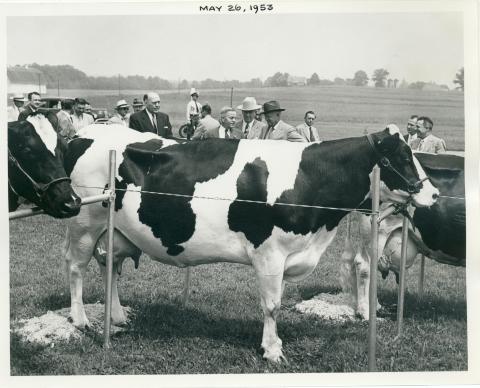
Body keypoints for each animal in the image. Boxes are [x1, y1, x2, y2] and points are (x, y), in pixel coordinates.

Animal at [64, 125, 438, 364]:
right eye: (404, 158)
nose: (434, 194)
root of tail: (85, 133)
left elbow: (278, 302)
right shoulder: (269, 253)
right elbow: (272, 306)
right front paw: (272, 351)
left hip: (116, 231)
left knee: (110, 266)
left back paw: (118, 316)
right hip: (84, 223)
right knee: (76, 267)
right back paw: (81, 320)